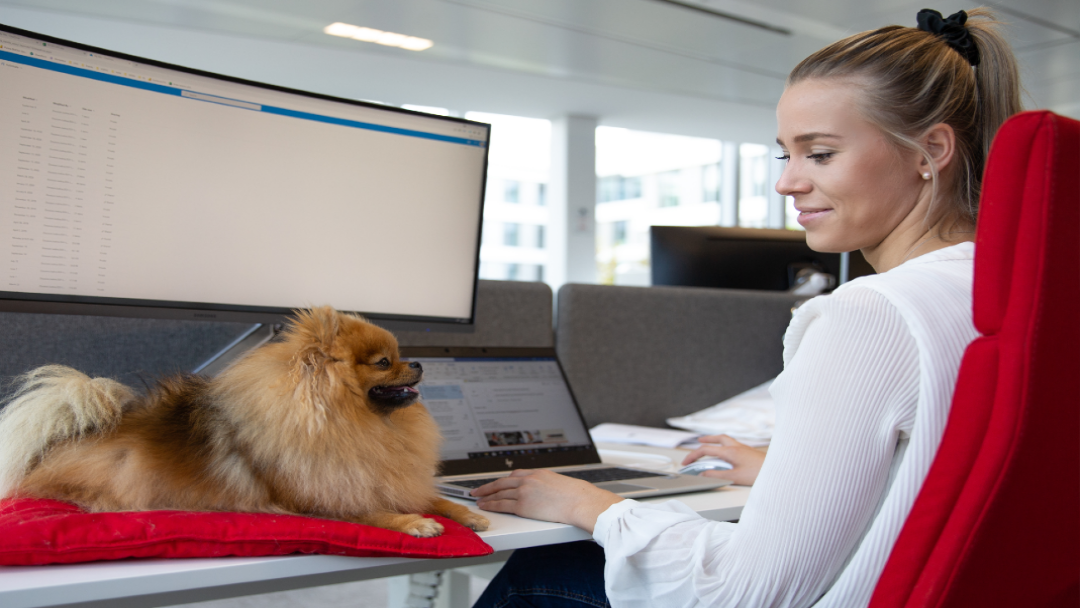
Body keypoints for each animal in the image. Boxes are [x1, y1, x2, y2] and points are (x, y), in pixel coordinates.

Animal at [0, 308, 490, 537]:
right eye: (384, 362)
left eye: (401, 354)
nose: (420, 364)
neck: (356, 423)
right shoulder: (320, 498)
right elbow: (372, 511)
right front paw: (414, 523)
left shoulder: (385, 477)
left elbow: (434, 496)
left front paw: (466, 512)